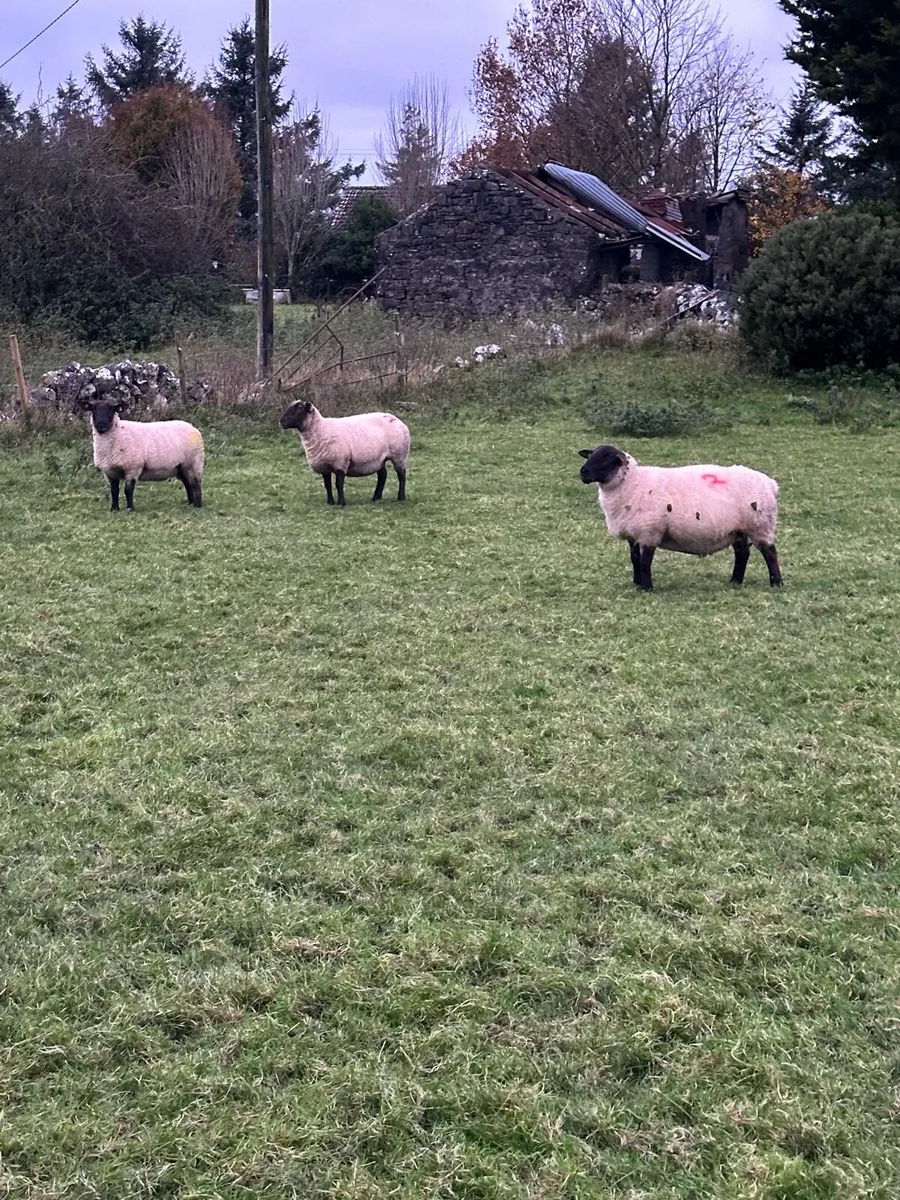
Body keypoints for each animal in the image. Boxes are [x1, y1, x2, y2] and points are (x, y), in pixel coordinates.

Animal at [279, 398, 410, 506]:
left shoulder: (340, 462)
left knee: (401, 475)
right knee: (383, 475)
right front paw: (330, 502)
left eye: (299, 409)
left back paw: (401, 497)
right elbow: (327, 485)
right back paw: (376, 498)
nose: (281, 421)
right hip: (379, 458)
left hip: (399, 454)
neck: (320, 429)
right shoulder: (324, 466)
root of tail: (396, 419)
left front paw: (341, 503)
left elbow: (338, 484)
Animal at [578, 443, 782, 592]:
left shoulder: (649, 531)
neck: (633, 482)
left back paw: (776, 584)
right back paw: (735, 581)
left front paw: (646, 588)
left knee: (770, 553)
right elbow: (634, 559)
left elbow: (644, 562)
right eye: (591, 455)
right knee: (742, 553)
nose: (583, 472)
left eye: (607, 457)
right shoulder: (634, 533)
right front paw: (637, 583)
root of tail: (771, 484)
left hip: (759, 525)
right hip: (738, 529)